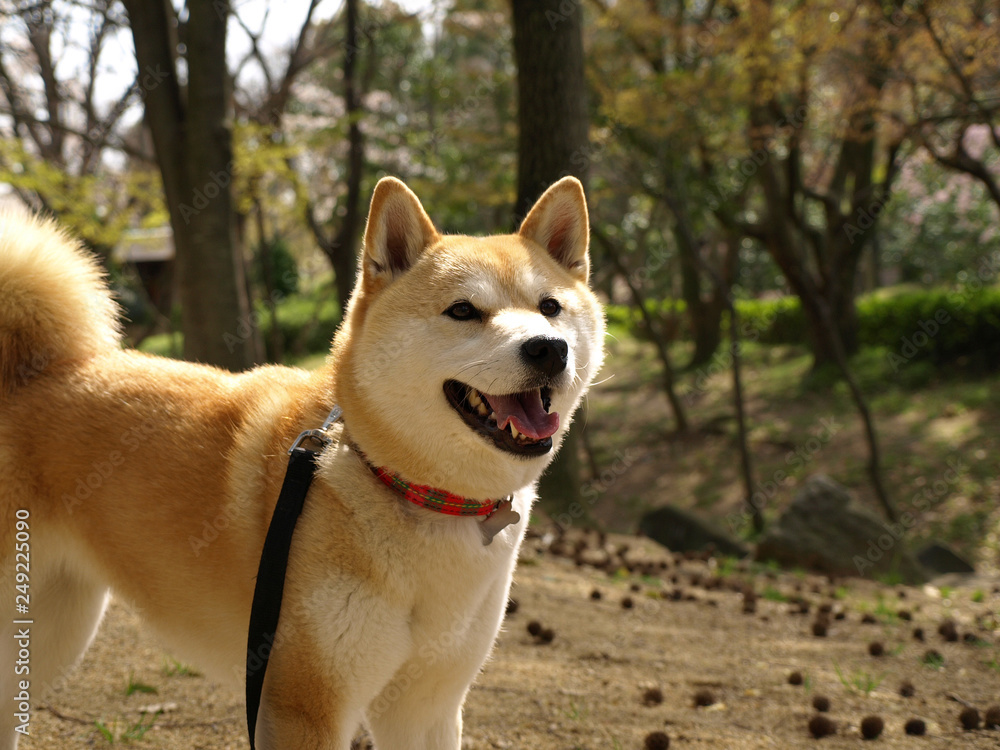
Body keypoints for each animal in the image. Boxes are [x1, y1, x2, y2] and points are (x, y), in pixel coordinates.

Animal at [0, 178, 600, 750]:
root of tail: (30, 372)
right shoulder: (304, 704)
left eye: (550, 307)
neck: (413, 492)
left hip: (55, 628)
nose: (548, 348)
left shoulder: (425, 709)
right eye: (463, 311)